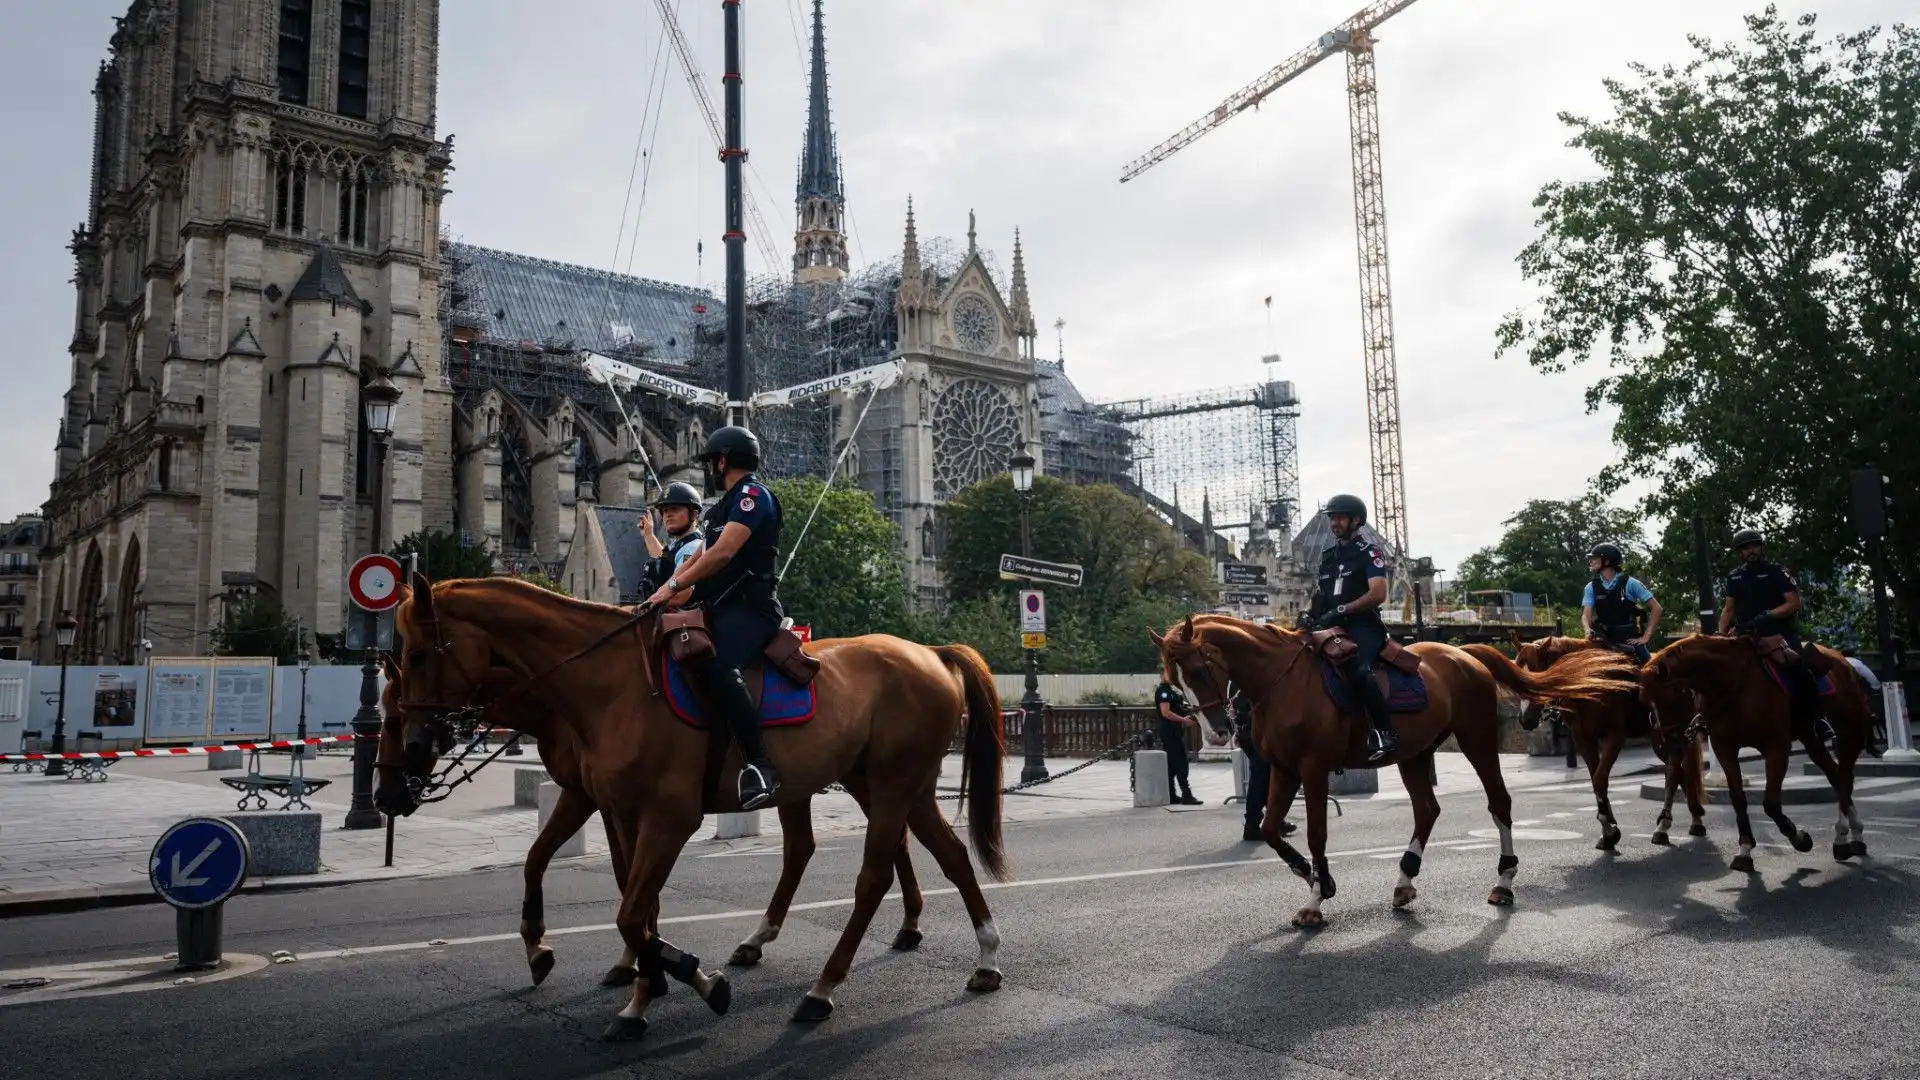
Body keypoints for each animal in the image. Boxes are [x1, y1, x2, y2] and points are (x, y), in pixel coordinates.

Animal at [370, 576, 1006, 1037]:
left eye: (420, 655)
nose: (385, 795)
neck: (599, 687)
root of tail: (930, 652)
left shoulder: (666, 817)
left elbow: (631, 910)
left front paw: (684, 980)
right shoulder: (614, 807)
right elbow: (623, 895)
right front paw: (638, 986)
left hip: (893, 783)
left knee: (873, 874)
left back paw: (823, 988)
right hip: (892, 785)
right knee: (943, 853)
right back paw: (984, 957)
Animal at [1152, 614, 1635, 926]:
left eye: (1199, 668)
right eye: (1174, 679)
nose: (1215, 733)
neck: (1282, 681)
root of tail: (1463, 652)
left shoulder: (1312, 769)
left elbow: (1316, 834)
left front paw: (1316, 898)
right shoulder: (1282, 770)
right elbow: (1270, 829)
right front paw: (1311, 874)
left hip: (1477, 740)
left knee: (1499, 802)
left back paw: (1505, 879)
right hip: (1415, 753)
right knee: (1427, 809)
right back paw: (1405, 878)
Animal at [1505, 630, 1704, 849]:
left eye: (1536, 674)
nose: (1525, 719)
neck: (1588, 681)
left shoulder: (1614, 736)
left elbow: (1600, 779)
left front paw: (1608, 828)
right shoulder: (1583, 738)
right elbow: (1595, 779)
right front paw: (1609, 830)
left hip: (1676, 731)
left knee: (1675, 771)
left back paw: (1668, 824)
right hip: (1659, 738)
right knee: (1679, 773)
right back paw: (1688, 819)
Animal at [1643, 630, 1866, 864]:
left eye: (1671, 697)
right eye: (1649, 702)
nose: (1666, 744)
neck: (1731, 682)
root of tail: (1842, 659)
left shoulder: (1777, 747)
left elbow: (1771, 803)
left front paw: (1799, 838)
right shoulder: (1725, 749)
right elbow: (1738, 798)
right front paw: (1745, 848)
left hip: (1851, 732)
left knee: (1845, 777)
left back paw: (1844, 835)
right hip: (1810, 738)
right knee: (1836, 776)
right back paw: (1849, 836)